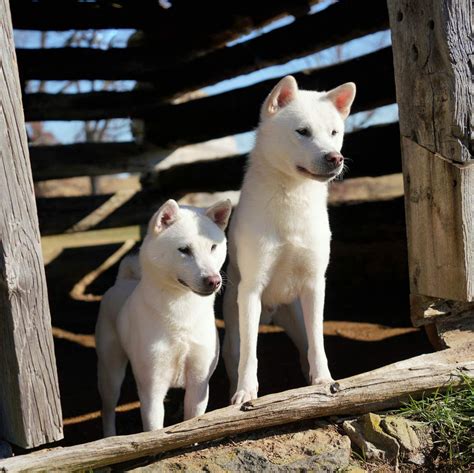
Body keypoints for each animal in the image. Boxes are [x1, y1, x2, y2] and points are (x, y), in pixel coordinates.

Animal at [95, 196, 231, 436]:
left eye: (213, 247)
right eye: (184, 250)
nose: (214, 280)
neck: (183, 314)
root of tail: (123, 282)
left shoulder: (199, 382)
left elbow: (193, 422)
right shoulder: (152, 388)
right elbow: (153, 428)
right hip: (110, 372)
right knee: (108, 409)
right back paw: (109, 436)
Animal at [223, 74, 356, 402]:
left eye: (334, 132)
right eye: (302, 132)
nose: (335, 158)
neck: (293, 200)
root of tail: (273, 311)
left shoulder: (314, 284)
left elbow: (318, 343)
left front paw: (324, 380)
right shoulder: (251, 290)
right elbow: (250, 355)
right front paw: (246, 393)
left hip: (295, 316)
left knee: (305, 346)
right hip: (235, 320)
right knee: (236, 356)